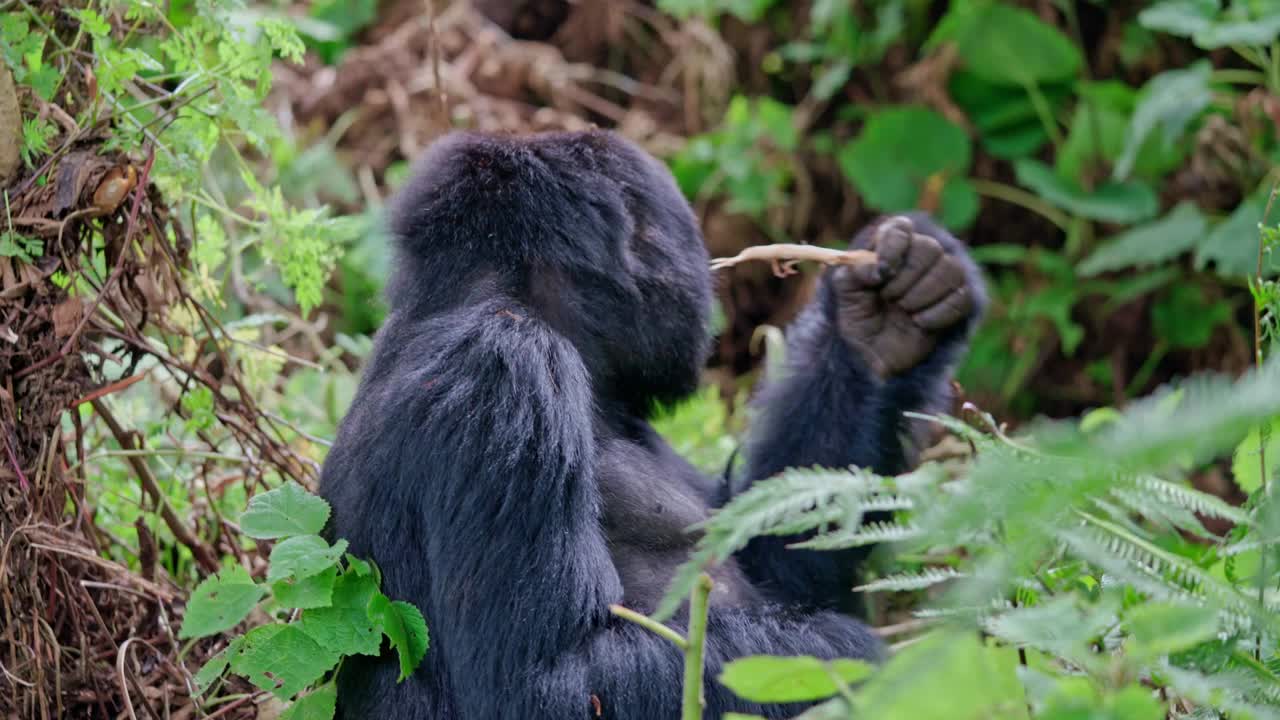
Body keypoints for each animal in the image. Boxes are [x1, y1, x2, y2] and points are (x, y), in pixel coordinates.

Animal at [320, 130, 988, 717]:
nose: (704, 283)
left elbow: (778, 551)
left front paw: (881, 322)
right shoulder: (504, 368)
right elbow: (544, 684)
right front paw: (860, 658)